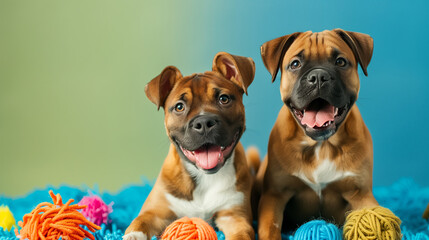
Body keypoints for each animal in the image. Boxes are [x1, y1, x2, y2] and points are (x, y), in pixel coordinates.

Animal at [123, 52, 258, 240]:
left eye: (223, 99)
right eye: (179, 107)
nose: (204, 122)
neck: (204, 177)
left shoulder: (234, 217)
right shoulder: (156, 212)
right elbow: (139, 222)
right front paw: (133, 236)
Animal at [254, 29, 378, 239]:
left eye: (340, 62)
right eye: (295, 64)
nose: (318, 76)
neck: (321, 145)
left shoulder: (361, 194)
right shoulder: (274, 196)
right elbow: (270, 229)